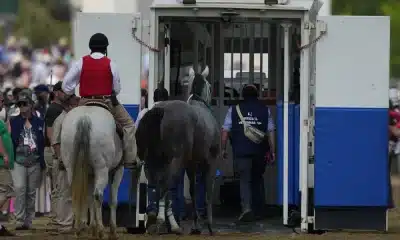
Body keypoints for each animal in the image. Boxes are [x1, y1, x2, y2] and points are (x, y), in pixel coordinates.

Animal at [60, 106, 125, 239]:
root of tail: (84, 118)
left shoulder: (90, 175)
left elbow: (89, 198)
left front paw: (92, 227)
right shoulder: (118, 170)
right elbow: (113, 200)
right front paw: (112, 231)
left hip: (71, 168)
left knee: (77, 194)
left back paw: (79, 228)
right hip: (102, 169)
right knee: (98, 195)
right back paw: (101, 230)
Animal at [136, 66, 220, 235]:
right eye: (209, 85)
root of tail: (160, 110)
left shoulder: (191, 164)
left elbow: (193, 192)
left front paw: (196, 225)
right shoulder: (211, 161)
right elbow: (208, 190)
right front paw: (209, 225)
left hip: (153, 161)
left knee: (155, 185)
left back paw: (155, 220)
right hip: (174, 161)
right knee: (165, 185)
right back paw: (163, 221)